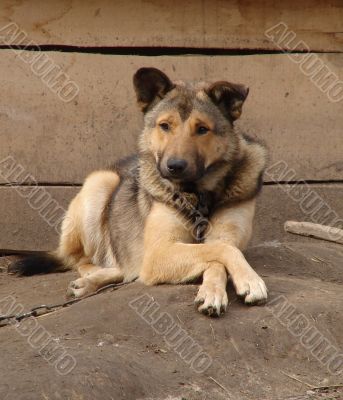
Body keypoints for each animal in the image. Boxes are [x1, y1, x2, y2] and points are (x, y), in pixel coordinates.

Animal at [10, 67, 268, 316]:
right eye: (165, 126)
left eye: (202, 129)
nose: (175, 166)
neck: (197, 195)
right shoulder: (159, 252)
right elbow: (220, 250)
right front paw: (250, 280)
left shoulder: (224, 235)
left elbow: (220, 254)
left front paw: (219, 289)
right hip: (99, 183)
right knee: (83, 260)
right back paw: (90, 279)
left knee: (124, 268)